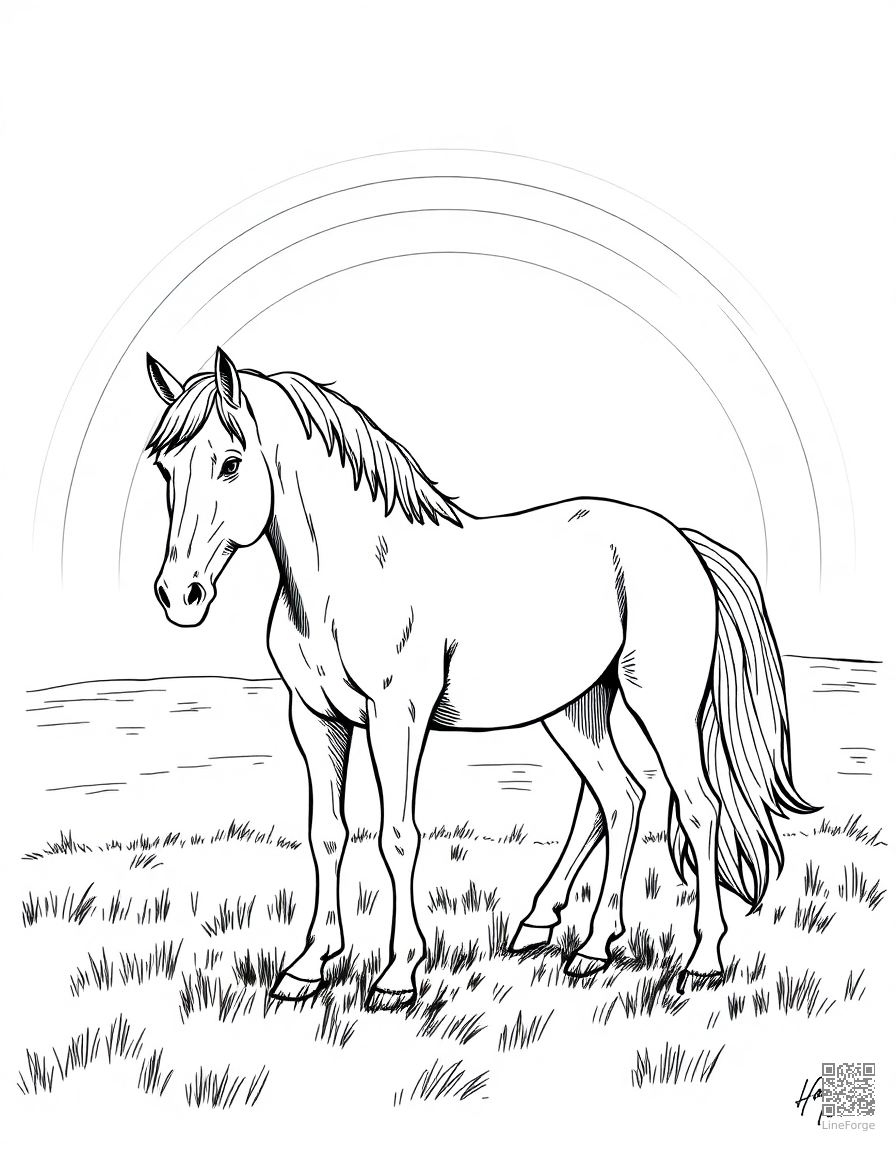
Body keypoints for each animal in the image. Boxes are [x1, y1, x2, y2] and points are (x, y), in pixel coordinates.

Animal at [145, 347, 815, 1009]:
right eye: (164, 467)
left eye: (231, 463)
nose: (180, 595)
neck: (351, 578)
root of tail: (683, 541)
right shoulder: (316, 718)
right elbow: (327, 835)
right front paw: (309, 966)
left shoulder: (398, 718)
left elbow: (397, 836)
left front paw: (399, 974)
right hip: (576, 708)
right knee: (619, 799)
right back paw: (584, 943)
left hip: (661, 707)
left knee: (697, 809)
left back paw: (702, 959)